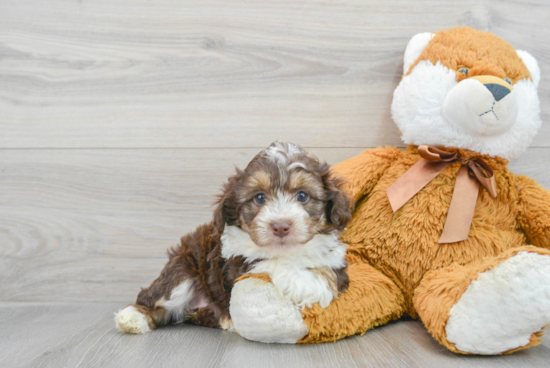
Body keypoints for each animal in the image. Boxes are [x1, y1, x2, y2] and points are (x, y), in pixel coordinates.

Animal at [115, 141, 354, 334]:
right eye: (259, 198)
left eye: (302, 196)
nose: (280, 226)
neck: (286, 251)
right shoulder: (233, 261)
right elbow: (264, 262)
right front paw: (300, 282)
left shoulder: (335, 260)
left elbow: (328, 274)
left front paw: (308, 283)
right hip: (181, 271)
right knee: (156, 300)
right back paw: (132, 318)